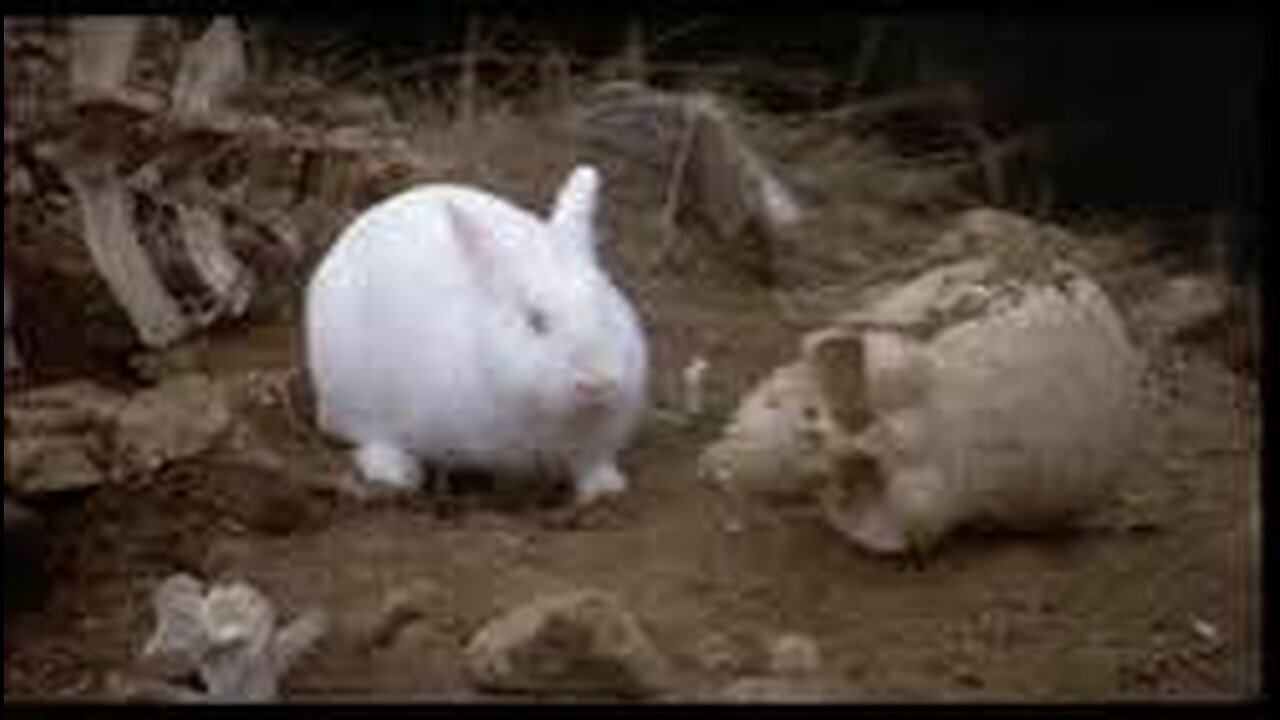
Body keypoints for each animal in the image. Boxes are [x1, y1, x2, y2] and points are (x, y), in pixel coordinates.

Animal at [304, 165, 648, 505]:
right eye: (535, 321)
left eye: (606, 304)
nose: (598, 380)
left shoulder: (595, 443)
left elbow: (590, 464)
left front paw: (606, 488)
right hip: (344, 388)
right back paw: (393, 471)